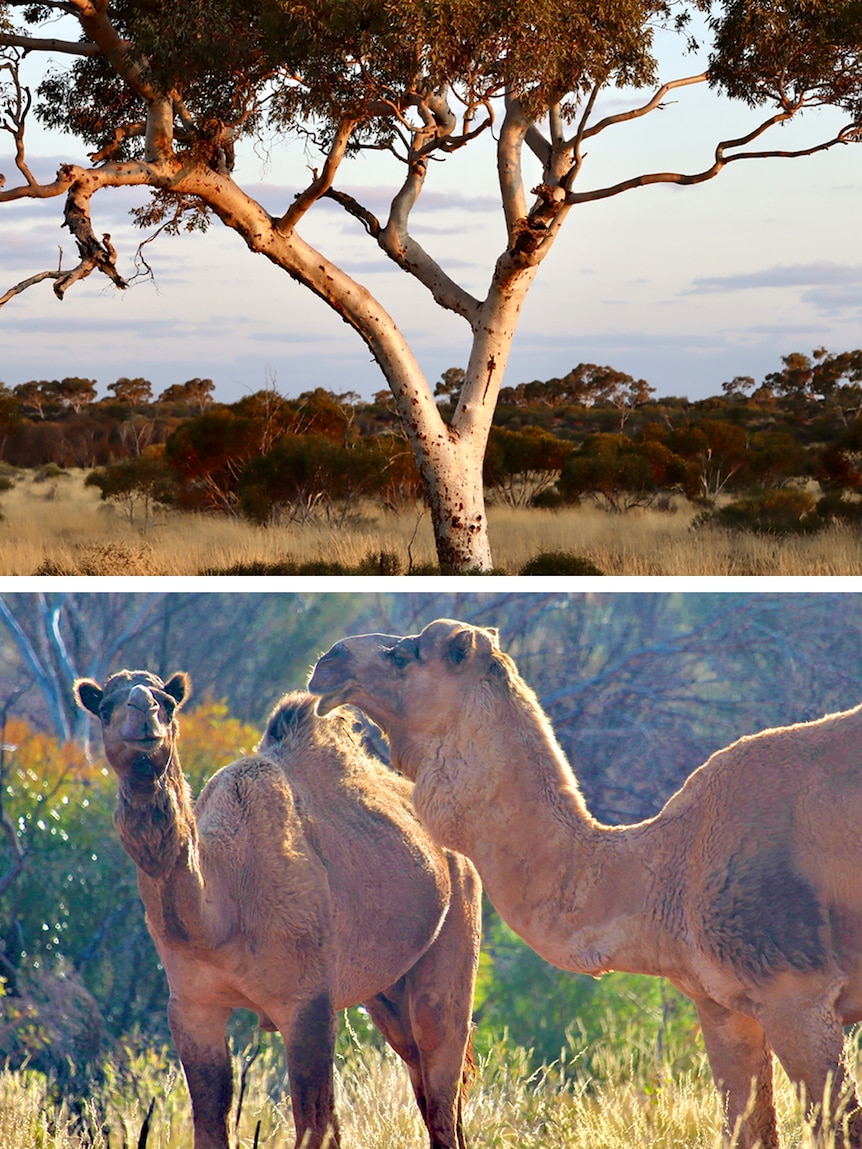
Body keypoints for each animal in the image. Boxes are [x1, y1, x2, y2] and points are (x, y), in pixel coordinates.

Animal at [73, 671, 482, 1149]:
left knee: (441, 1078)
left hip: (456, 937)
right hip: (388, 992)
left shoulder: (307, 1002)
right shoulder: (192, 1005)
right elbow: (210, 1122)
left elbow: (316, 1124)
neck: (222, 912)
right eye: (106, 707)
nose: (143, 712)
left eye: (167, 703)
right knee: (429, 1081)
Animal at [312, 620, 862, 1149]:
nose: (327, 660)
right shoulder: (723, 1007)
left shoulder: (797, 995)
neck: (668, 869)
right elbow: (748, 1130)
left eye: (402, 656)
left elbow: (841, 1127)